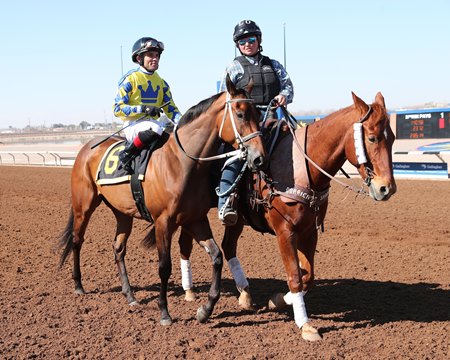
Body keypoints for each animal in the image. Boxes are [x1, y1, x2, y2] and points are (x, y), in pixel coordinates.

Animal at [57, 77, 268, 328]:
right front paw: (165, 313)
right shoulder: (163, 222)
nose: (259, 157)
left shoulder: (195, 219)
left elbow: (216, 257)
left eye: (258, 112)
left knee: (118, 248)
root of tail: (85, 148)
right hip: (84, 206)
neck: (182, 162)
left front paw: (205, 310)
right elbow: (164, 266)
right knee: (77, 240)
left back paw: (130, 295)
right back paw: (78, 284)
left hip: (123, 213)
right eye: (240, 114)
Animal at [178, 92, 396, 340]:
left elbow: (307, 276)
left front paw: (278, 301)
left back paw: (244, 293)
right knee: (186, 244)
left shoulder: (309, 231)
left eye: (392, 138)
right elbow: (294, 276)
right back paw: (189, 291)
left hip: (236, 220)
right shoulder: (285, 232)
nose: (386, 188)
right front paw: (305, 325)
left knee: (228, 246)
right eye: (372, 138)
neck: (302, 169)